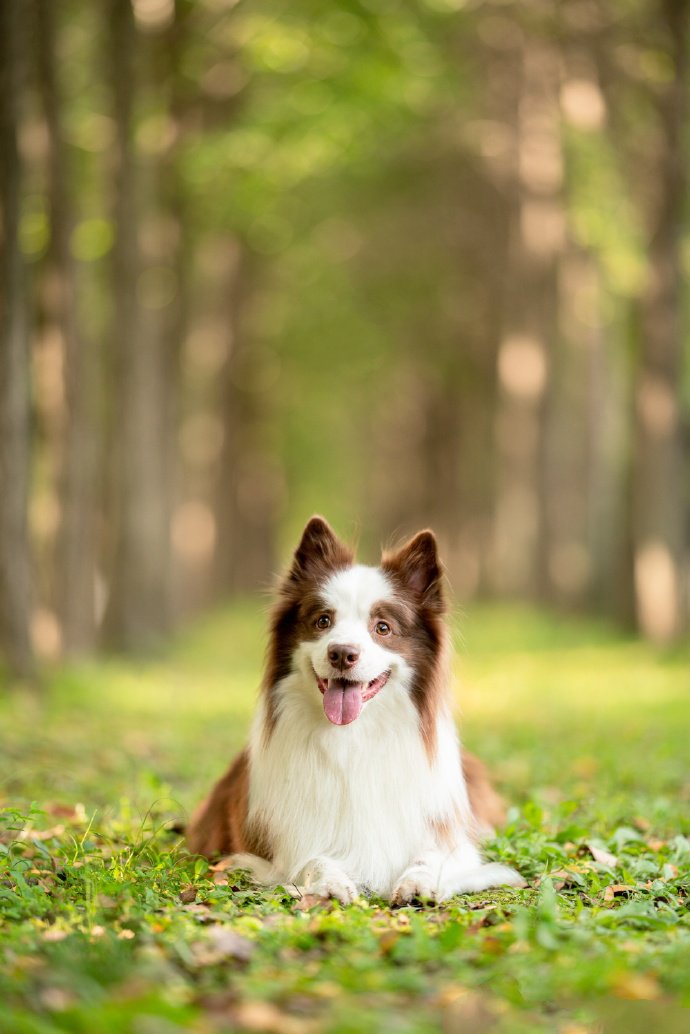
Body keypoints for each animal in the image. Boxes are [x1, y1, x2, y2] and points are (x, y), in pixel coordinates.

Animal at [186, 512, 521, 901]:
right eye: (323, 621)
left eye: (383, 627)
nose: (342, 653)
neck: (353, 736)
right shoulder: (266, 849)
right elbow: (313, 859)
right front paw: (332, 882)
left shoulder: (450, 837)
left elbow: (432, 856)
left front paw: (418, 881)